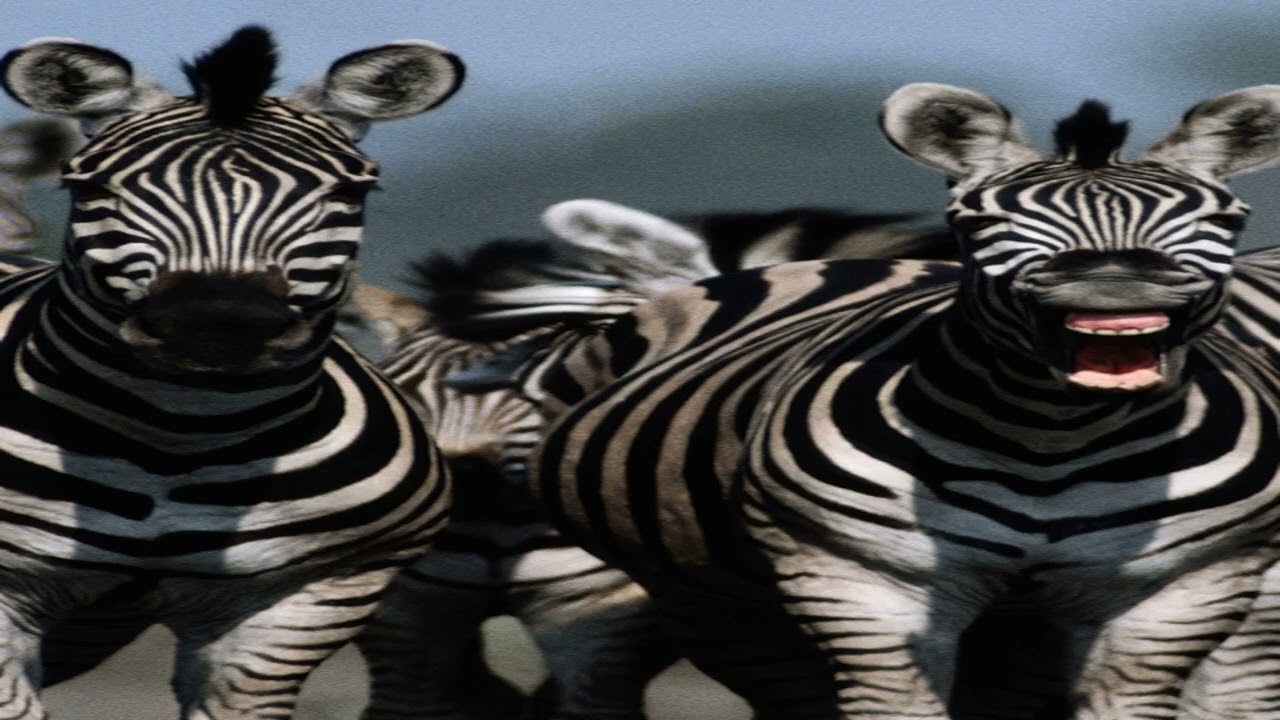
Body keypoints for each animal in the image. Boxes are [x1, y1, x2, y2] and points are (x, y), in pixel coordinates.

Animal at [490, 84, 1280, 719]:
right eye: (981, 226)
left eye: (1224, 222)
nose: (1117, 286)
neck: (1054, 441)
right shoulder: (867, 587)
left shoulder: (1176, 594)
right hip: (707, 605)